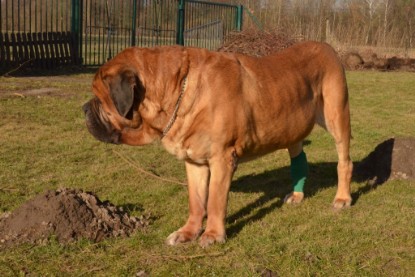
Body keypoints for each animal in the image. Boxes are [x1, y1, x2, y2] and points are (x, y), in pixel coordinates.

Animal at [83, 42, 354, 247]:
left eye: (99, 99)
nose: (84, 108)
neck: (178, 91)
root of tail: (328, 47)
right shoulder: (194, 162)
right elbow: (196, 201)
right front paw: (188, 232)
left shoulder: (222, 159)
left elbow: (214, 200)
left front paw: (212, 235)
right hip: (292, 126)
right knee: (298, 158)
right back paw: (297, 195)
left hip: (336, 116)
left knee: (345, 162)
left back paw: (342, 198)